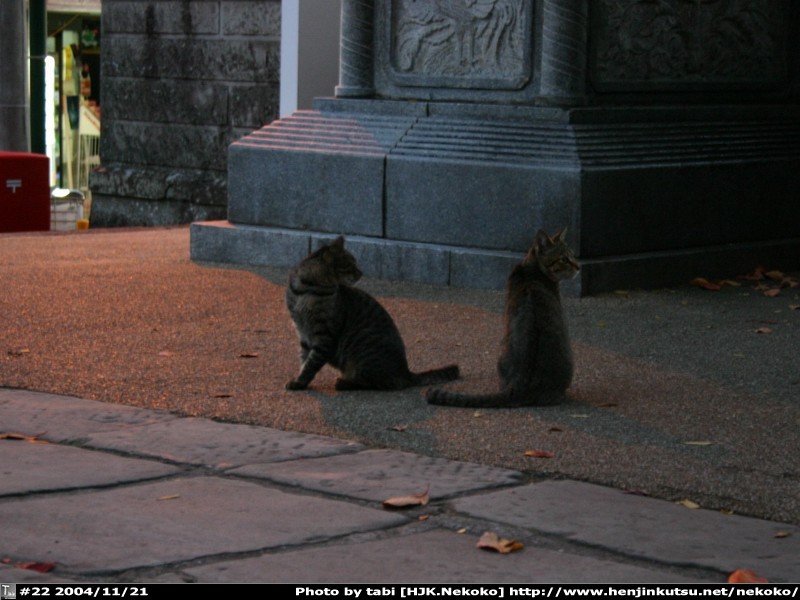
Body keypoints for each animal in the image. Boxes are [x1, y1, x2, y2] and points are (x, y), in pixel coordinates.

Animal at [284, 236, 460, 391]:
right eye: (351, 264)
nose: (361, 273)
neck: (307, 289)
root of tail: (406, 372)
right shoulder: (303, 333)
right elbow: (304, 359)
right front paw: (300, 379)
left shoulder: (324, 335)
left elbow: (311, 363)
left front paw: (299, 382)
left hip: (363, 355)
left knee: (380, 383)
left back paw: (344, 383)